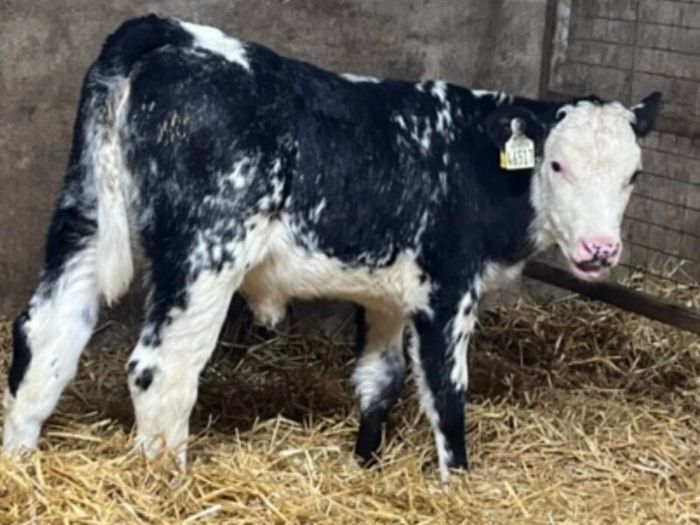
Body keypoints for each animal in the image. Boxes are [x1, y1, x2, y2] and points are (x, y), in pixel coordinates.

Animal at [2, 15, 660, 480]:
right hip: (205, 252)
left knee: (48, 332)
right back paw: (167, 485)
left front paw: (365, 465)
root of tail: (169, 31)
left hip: (83, 215)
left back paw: (21, 463)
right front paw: (458, 483)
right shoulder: (448, 288)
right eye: (557, 164)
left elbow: (379, 379)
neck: (469, 156)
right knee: (161, 368)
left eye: (633, 174)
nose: (600, 251)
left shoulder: (388, 292)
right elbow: (447, 391)